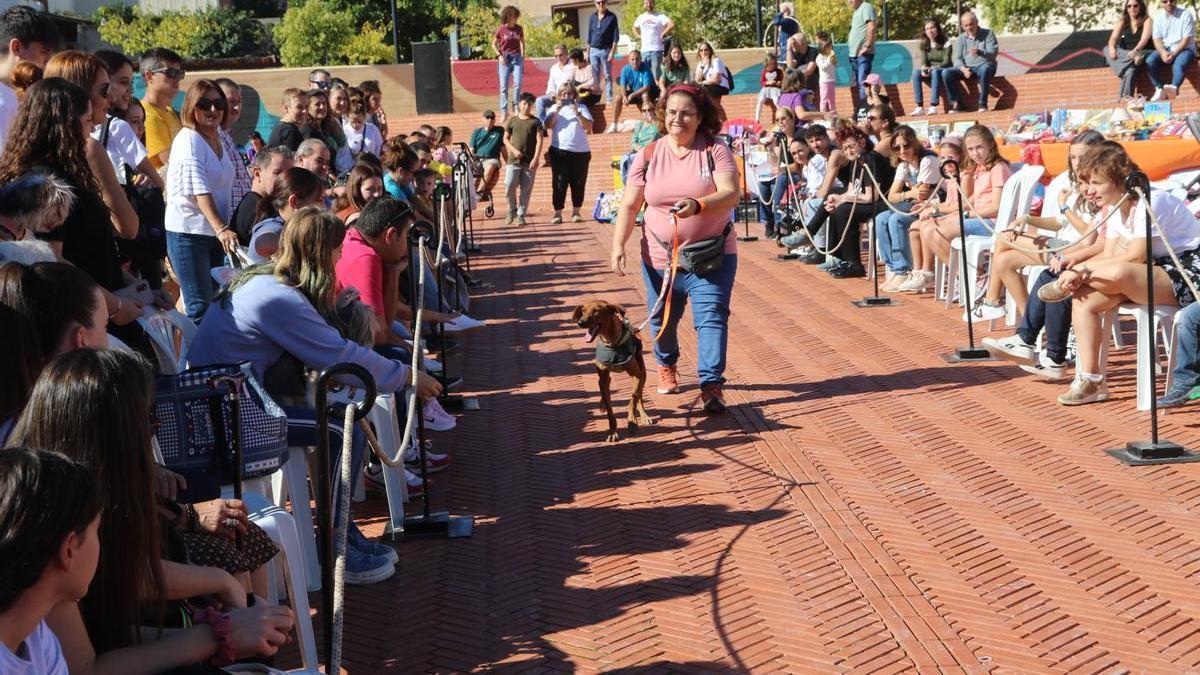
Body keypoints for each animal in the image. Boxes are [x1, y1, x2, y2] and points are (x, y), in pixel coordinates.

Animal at [571, 299, 657, 441]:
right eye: (583, 310)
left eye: (596, 311)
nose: (580, 322)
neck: (610, 341)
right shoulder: (603, 376)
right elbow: (610, 410)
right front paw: (612, 431)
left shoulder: (637, 376)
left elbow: (633, 399)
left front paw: (632, 422)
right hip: (604, 376)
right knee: (607, 384)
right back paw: (602, 404)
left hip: (642, 372)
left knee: (639, 395)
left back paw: (644, 415)